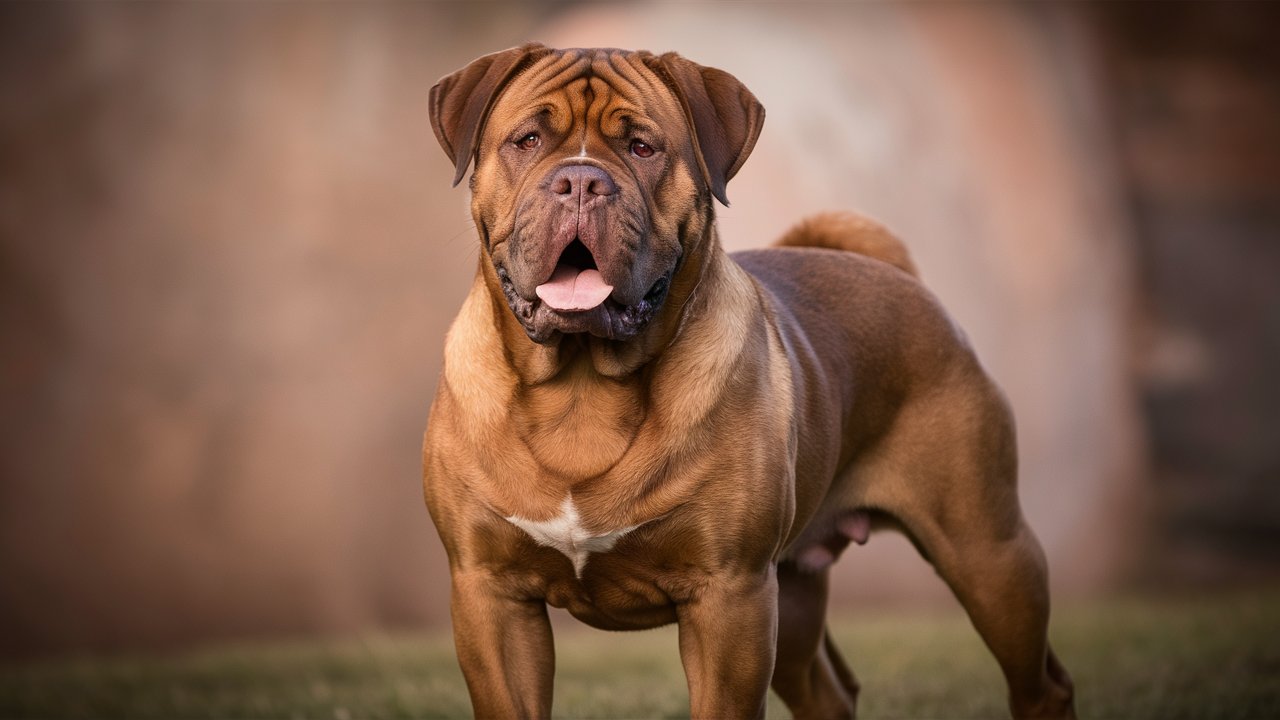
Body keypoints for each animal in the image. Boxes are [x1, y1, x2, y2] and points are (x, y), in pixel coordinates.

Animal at [424, 41, 1075, 712]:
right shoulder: (491, 596)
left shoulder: (730, 598)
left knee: (1040, 680)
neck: (582, 391)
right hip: (797, 596)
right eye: (527, 139)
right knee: (830, 692)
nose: (581, 181)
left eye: (642, 147)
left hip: (985, 550)